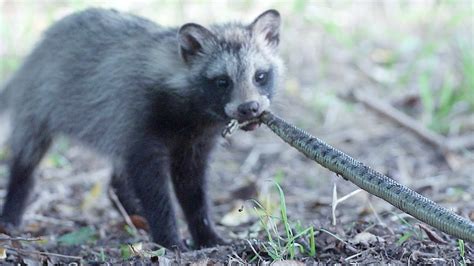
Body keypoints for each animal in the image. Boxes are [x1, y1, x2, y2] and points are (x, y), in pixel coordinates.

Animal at [0, 8, 282, 249]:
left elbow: (192, 186)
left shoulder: (194, 141)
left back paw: (134, 213)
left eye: (260, 76)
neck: (193, 111)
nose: (249, 108)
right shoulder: (139, 117)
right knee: (27, 158)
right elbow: (152, 184)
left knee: (117, 179)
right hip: (37, 103)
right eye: (223, 82)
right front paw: (168, 237)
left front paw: (205, 233)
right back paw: (13, 207)